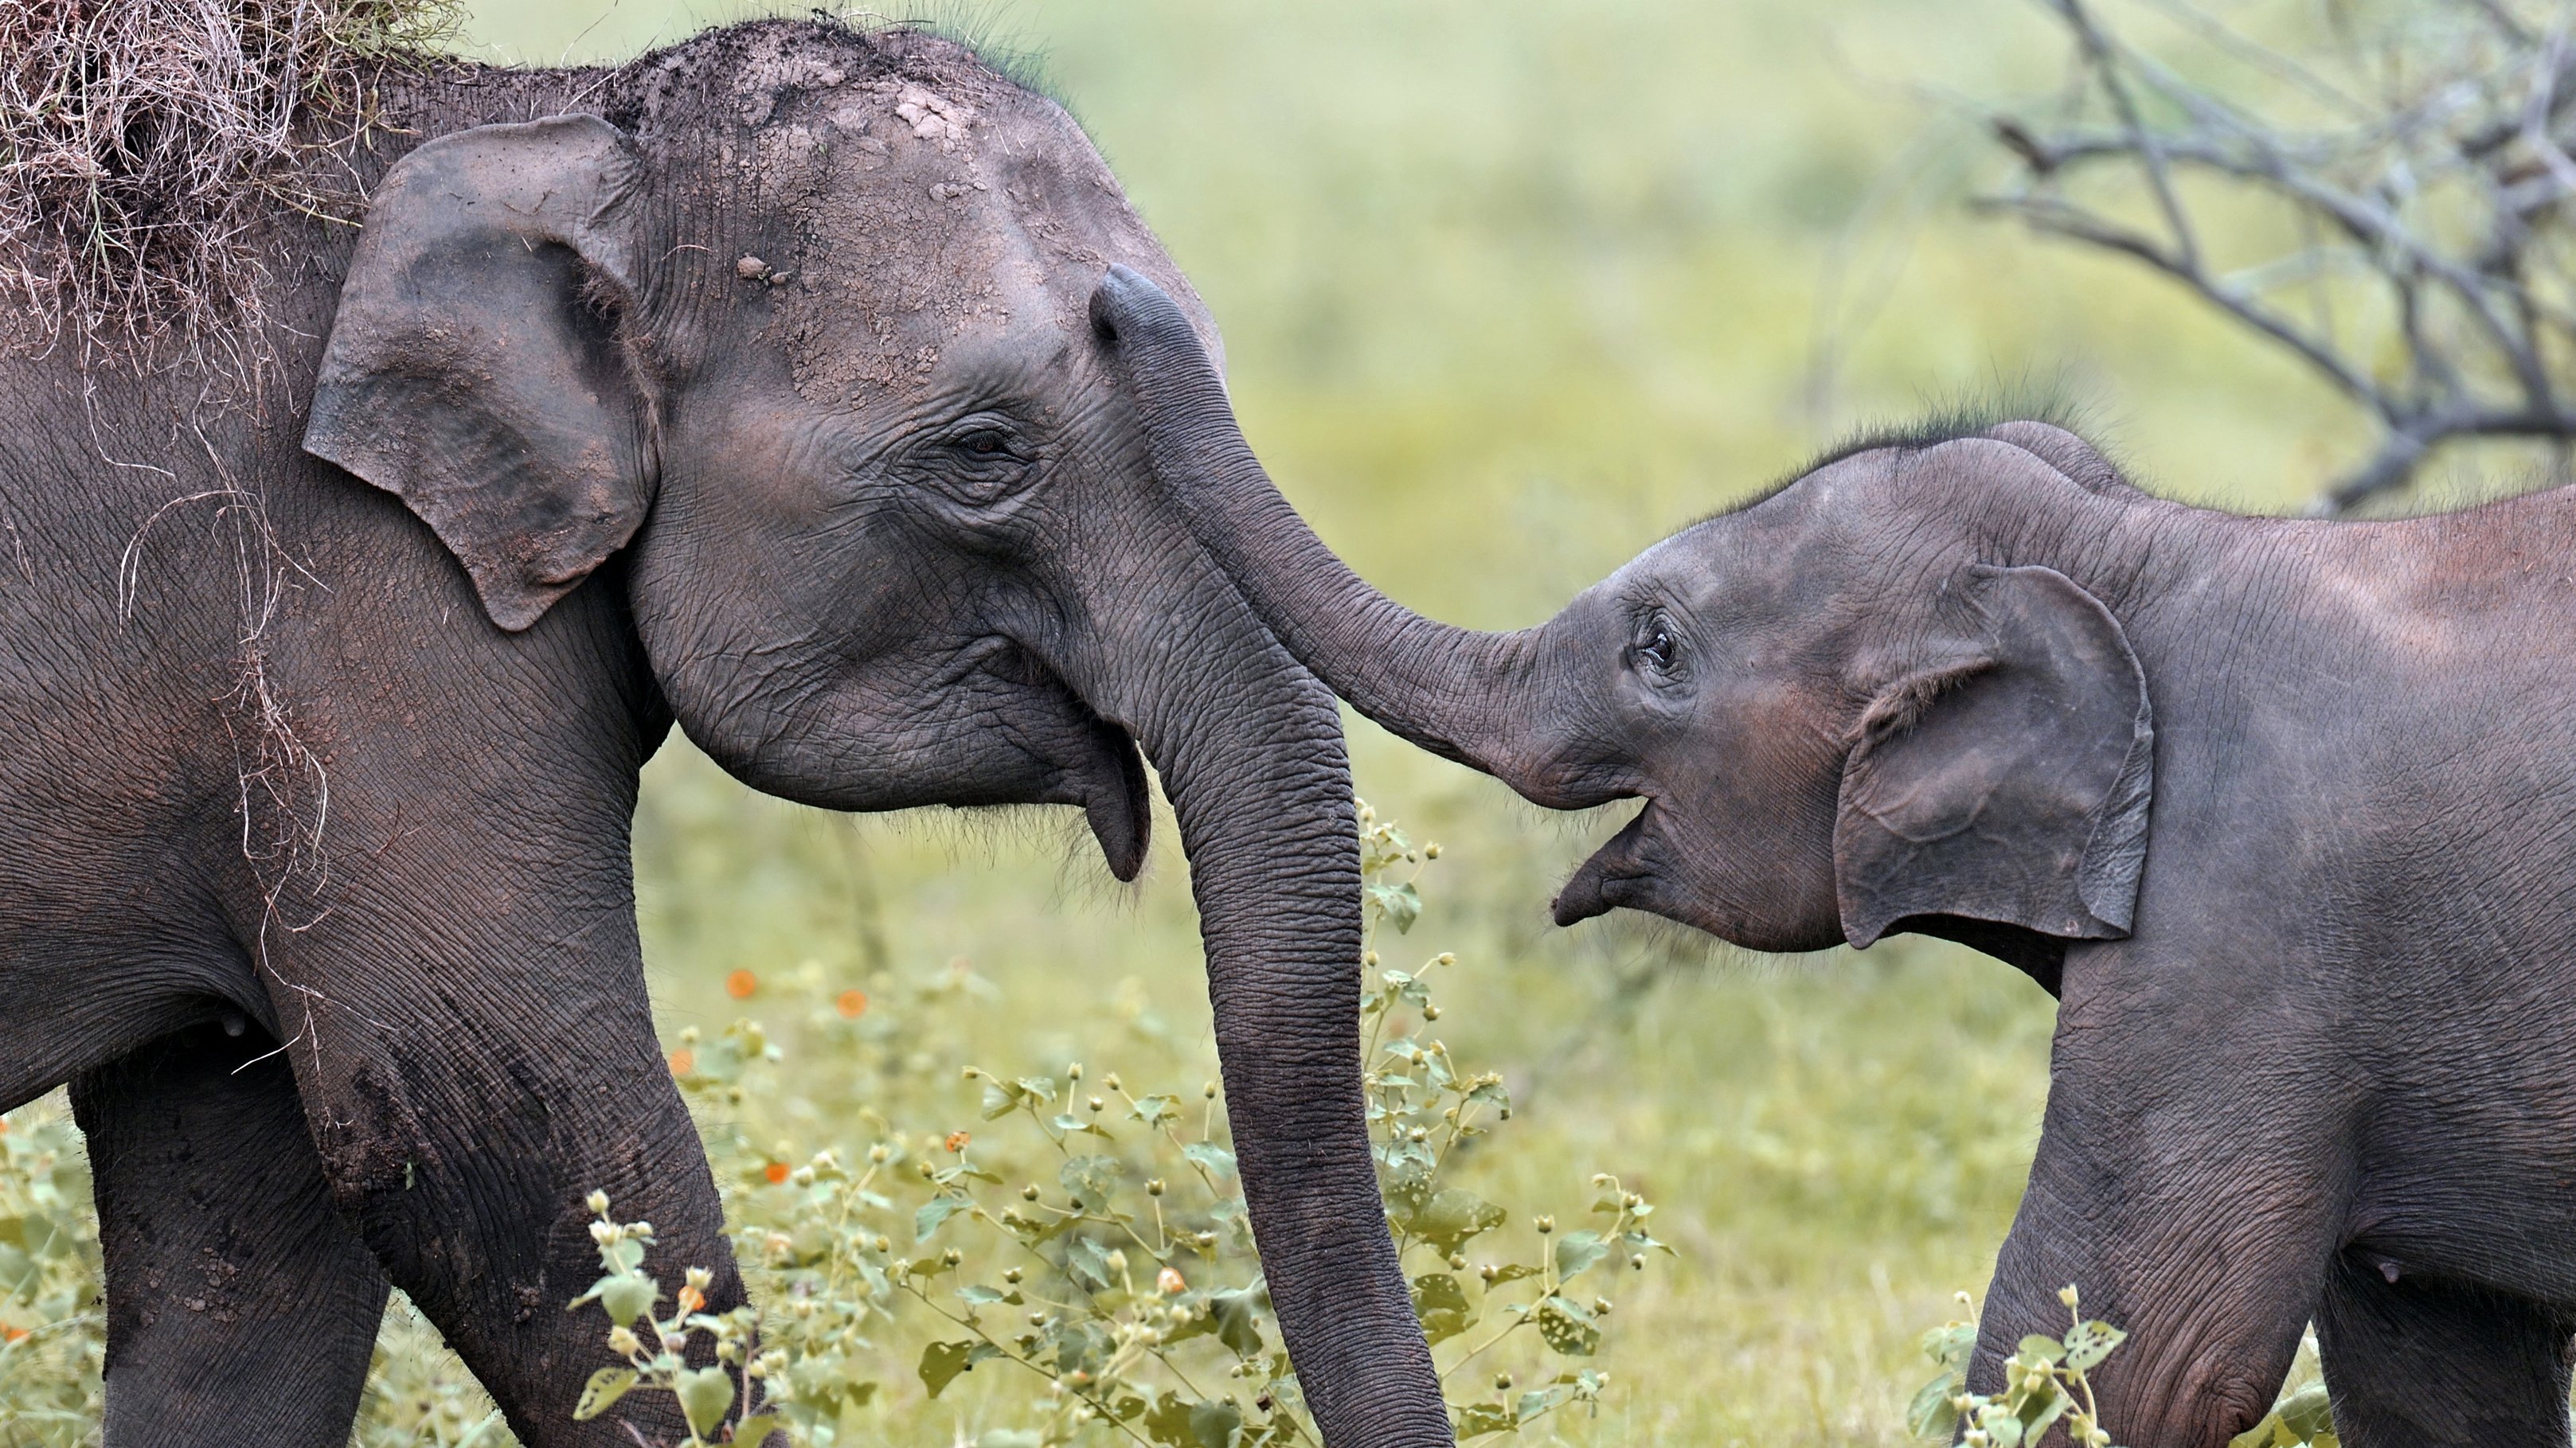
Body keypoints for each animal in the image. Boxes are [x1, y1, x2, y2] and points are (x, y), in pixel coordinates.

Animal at [0, 22, 1452, 1442]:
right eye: (984, 451)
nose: (1121, 306)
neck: (561, 126)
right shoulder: (351, 623)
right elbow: (498, 1149)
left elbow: (253, 1227)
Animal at [1102, 261, 2576, 1442]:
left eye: (1658, 648)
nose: (1119, 303)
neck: (2131, 548)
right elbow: (2433, 1377)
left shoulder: (2240, 943)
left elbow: (2128, 1351)